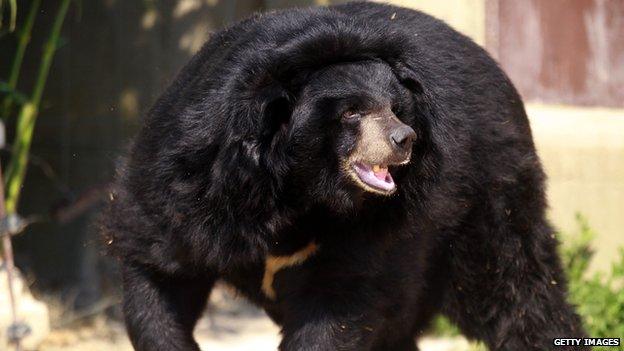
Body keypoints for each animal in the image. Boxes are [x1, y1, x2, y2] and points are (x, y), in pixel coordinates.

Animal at [101, 1, 584, 350]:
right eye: (352, 112)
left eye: (396, 107)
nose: (405, 138)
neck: (297, 191)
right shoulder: (188, 188)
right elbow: (159, 273)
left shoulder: (372, 232)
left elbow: (337, 306)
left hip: (486, 196)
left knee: (515, 287)